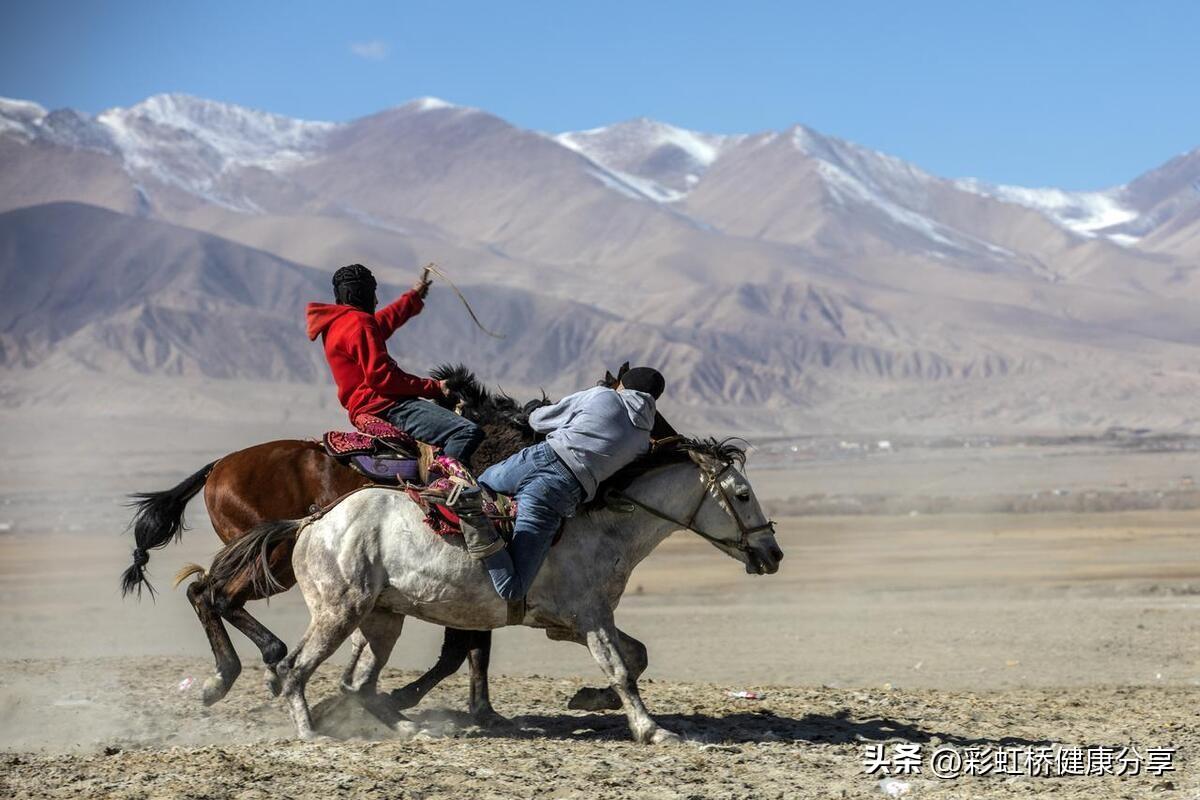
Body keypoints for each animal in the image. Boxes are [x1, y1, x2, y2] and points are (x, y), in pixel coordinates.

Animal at [120, 367, 535, 729]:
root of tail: (218, 467)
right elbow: (459, 651)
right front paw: (397, 699)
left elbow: (475, 647)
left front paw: (485, 711)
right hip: (274, 559)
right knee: (218, 595)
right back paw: (259, 668)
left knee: (203, 591)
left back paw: (229, 677)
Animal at [211, 438, 782, 743]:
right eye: (741, 494)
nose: (772, 554)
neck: (603, 525)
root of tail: (312, 523)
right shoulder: (590, 617)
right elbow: (622, 667)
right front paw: (651, 729)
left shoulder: (571, 622)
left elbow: (635, 655)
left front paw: (587, 699)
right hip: (339, 611)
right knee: (293, 667)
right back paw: (310, 732)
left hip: (382, 618)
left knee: (360, 682)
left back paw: (409, 729)